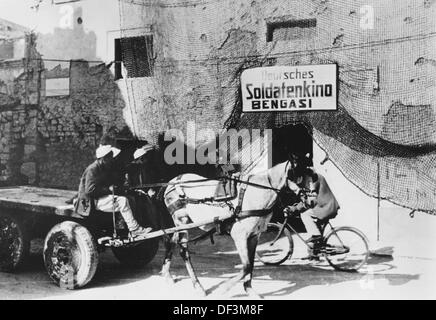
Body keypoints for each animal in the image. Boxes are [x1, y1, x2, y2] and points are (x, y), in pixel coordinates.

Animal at [162, 161, 294, 298]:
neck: (254, 192)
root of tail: (172, 182)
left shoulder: (254, 236)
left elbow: (251, 264)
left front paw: (249, 290)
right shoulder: (239, 236)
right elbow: (246, 266)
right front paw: (224, 288)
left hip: (182, 224)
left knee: (171, 242)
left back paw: (167, 275)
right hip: (181, 220)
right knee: (184, 252)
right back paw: (198, 286)